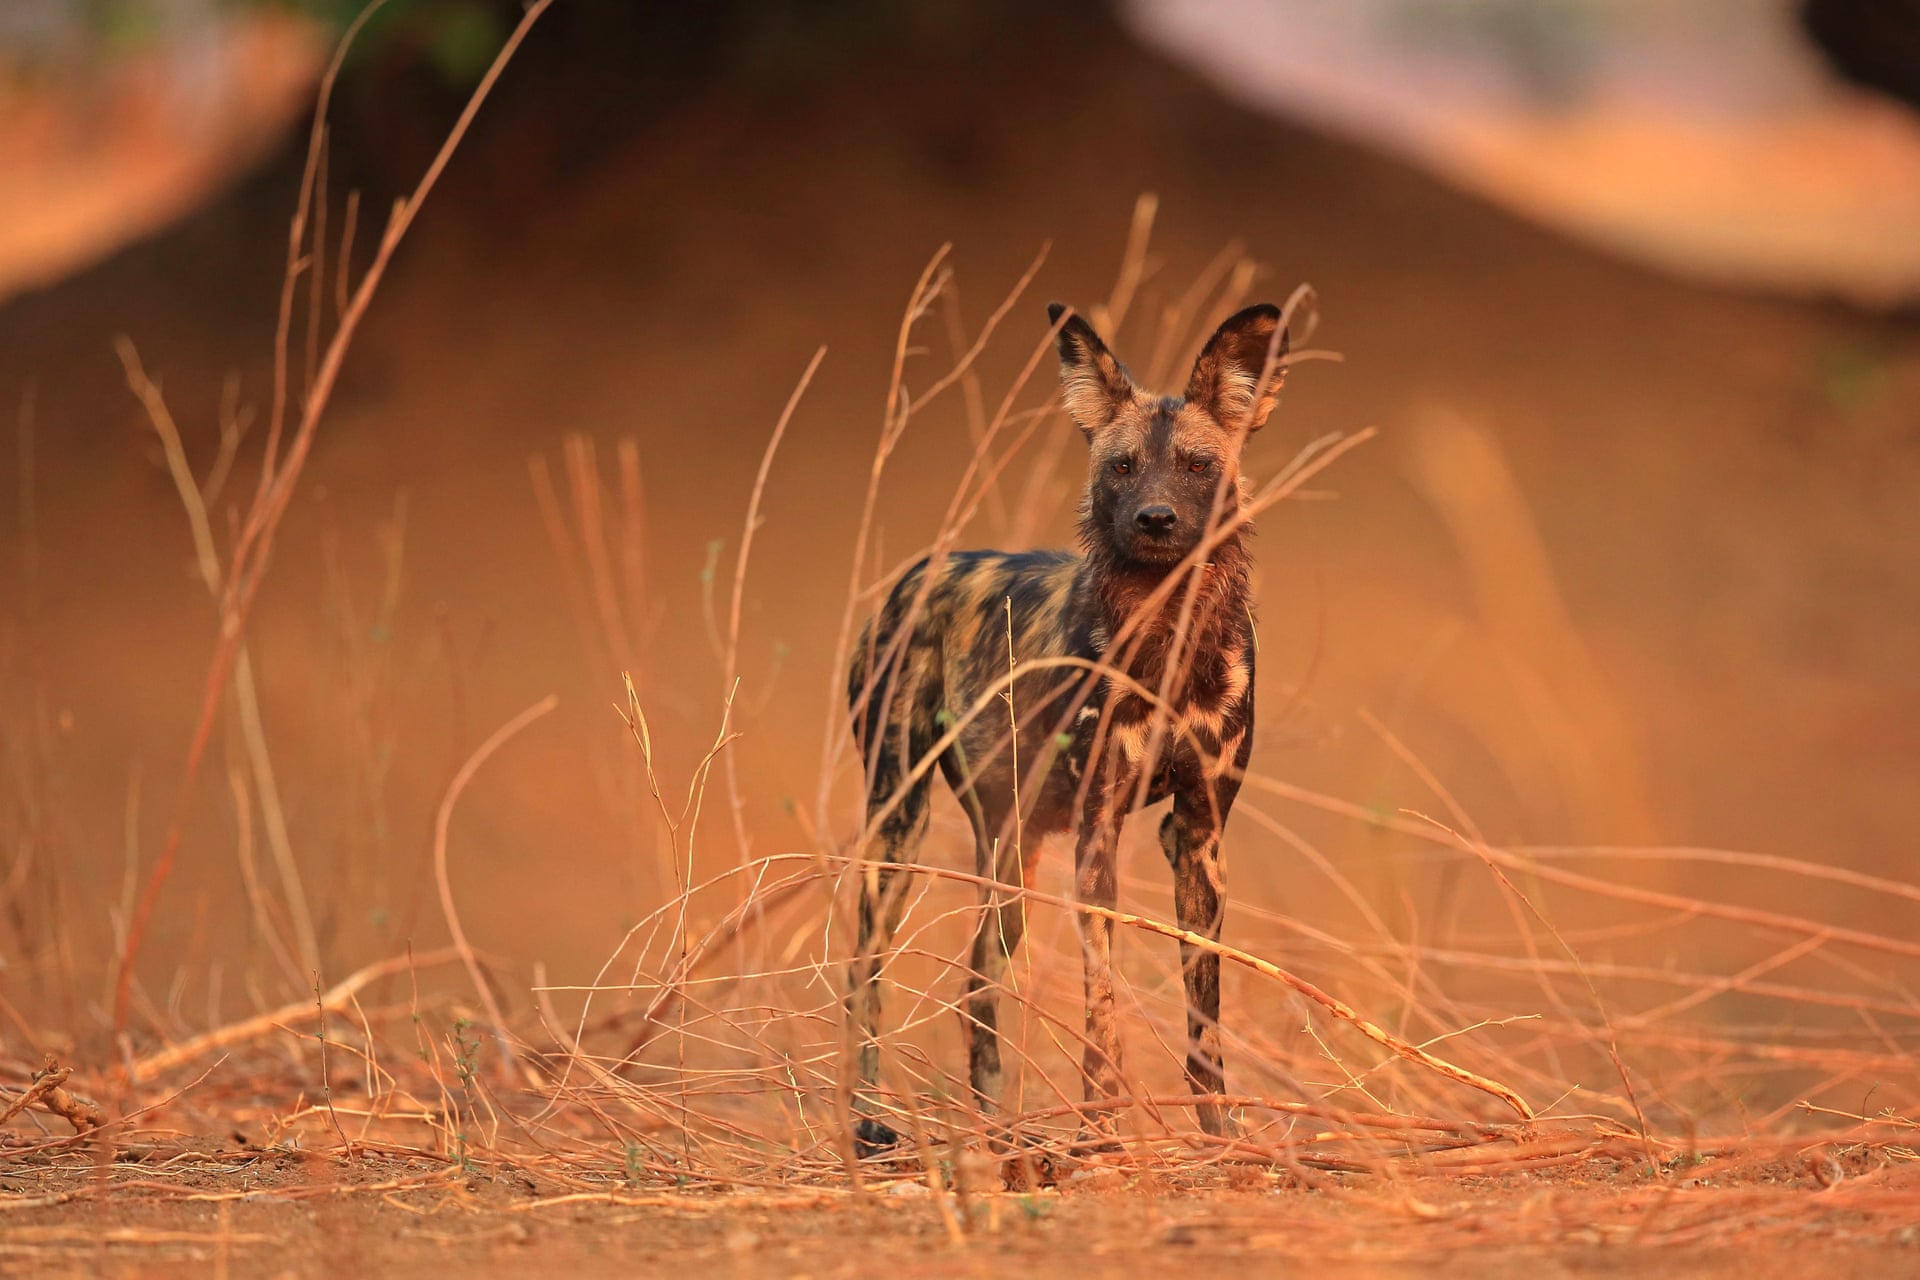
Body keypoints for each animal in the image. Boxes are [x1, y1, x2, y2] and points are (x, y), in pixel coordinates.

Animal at [844, 303, 1282, 1159]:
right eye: (1121, 467)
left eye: (1196, 466)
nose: (1156, 519)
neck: (1168, 641)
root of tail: (913, 577)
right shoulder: (1098, 834)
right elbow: (1102, 1014)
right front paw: (1101, 1131)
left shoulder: (1199, 836)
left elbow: (1204, 1019)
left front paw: (1220, 1132)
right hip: (899, 825)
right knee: (864, 972)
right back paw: (867, 1118)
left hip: (1011, 856)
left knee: (976, 989)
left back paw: (997, 1130)